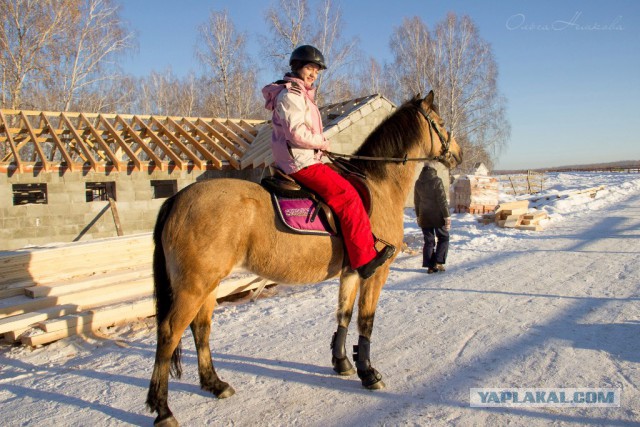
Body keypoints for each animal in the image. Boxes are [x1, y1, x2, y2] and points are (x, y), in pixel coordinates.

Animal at [146, 90, 462, 426]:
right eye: (441, 123)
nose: (458, 154)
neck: (378, 185)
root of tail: (178, 199)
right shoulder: (375, 272)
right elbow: (366, 321)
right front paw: (368, 372)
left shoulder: (350, 272)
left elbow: (343, 315)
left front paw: (342, 363)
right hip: (194, 286)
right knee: (169, 334)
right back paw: (163, 408)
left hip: (208, 284)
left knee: (201, 329)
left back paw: (214, 384)